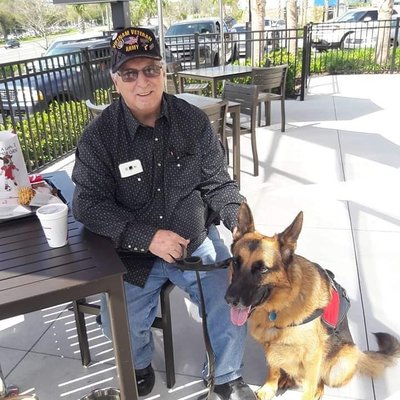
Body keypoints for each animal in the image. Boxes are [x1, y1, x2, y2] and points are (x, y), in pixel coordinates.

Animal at [225, 205, 400, 398]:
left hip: (339, 365)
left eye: (262, 269)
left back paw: (316, 389)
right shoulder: (269, 346)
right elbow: (273, 368)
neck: (280, 306)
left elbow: (309, 386)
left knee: (321, 379)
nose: (229, 300)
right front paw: (269, 387)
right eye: (235, 262)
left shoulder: (312, 357)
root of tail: (360, 354)